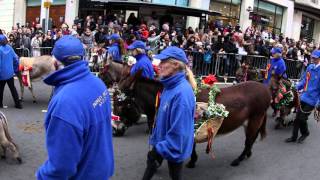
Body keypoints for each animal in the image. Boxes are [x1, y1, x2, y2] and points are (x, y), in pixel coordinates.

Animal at [114, 71, 272, 167]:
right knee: (251, 139)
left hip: (255, 118)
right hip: (249, 121)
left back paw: (239, 159)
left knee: (249, 140)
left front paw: (191, 162)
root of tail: (264, 88)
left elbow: (190, 146)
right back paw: (247, 154)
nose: (115, 131)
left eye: (120, 105)